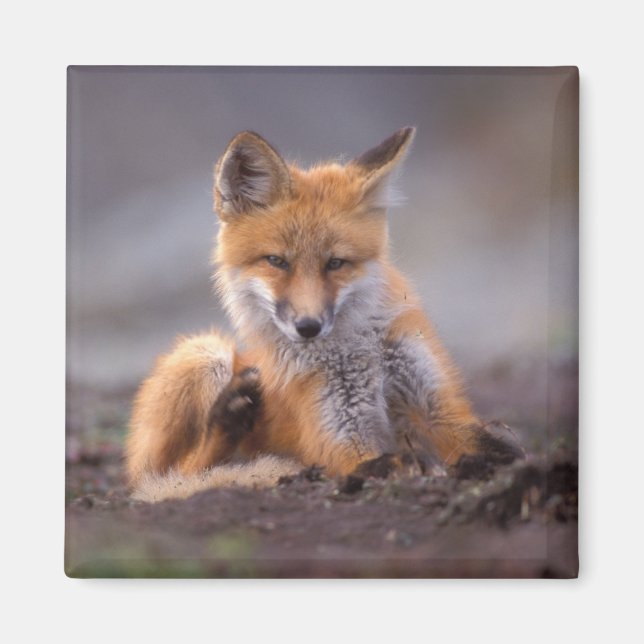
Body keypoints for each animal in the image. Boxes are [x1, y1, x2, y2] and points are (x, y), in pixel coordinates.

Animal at [126, 127, 522, 502]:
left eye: (335, 263)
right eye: (276, 261)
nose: (308, 327)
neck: (359, 350)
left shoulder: (438, 409)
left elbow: (499, 446)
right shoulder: (340, 437)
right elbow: (382, 462)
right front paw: (417, 464)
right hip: (204, 353)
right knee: (176, 473)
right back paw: (227, 421)